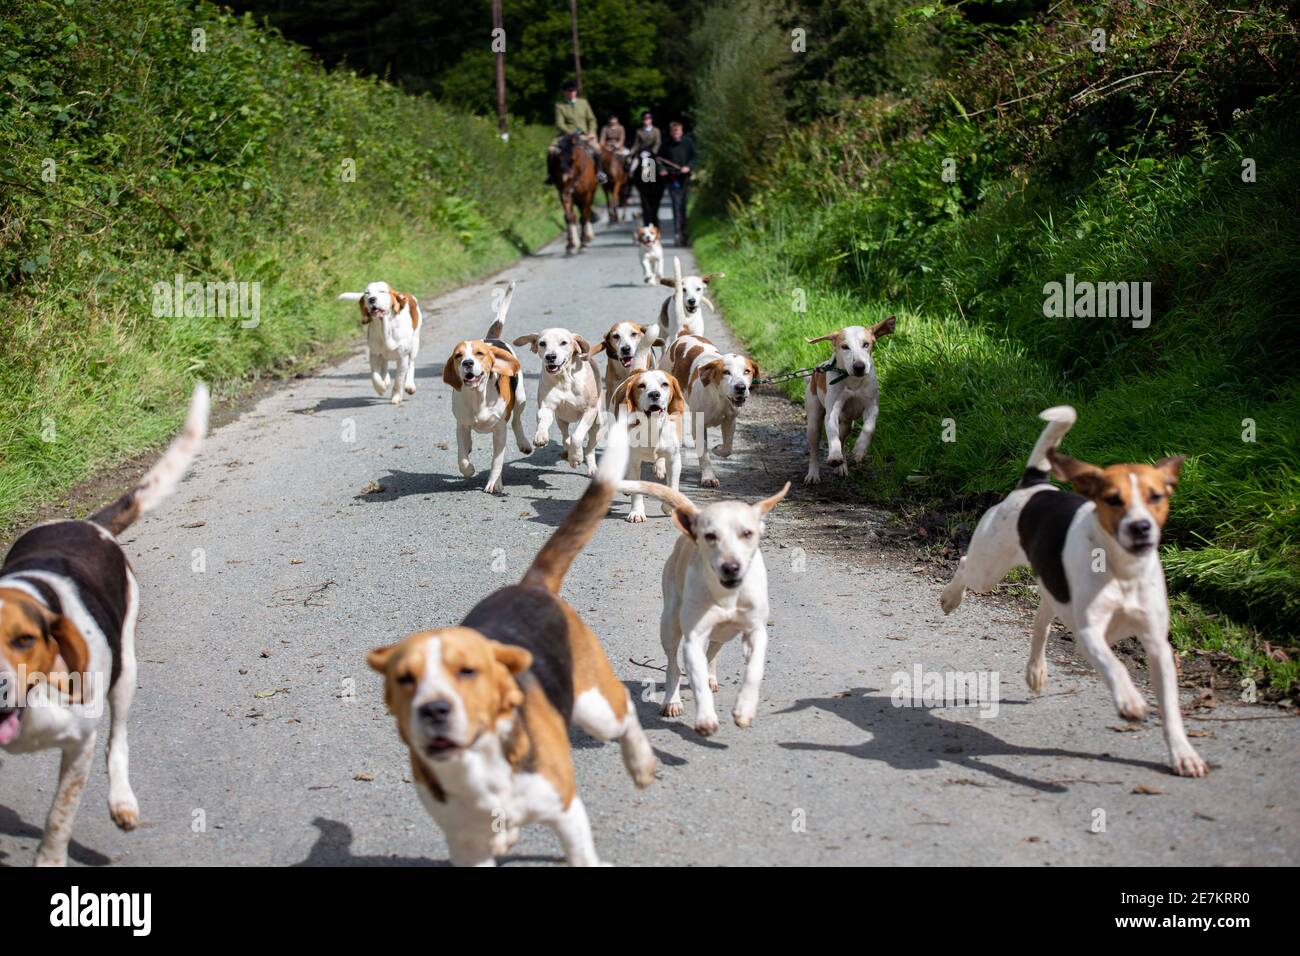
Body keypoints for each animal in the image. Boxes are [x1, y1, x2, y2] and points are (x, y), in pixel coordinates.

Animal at [935, 408, 1206, 780]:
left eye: (1156, 497)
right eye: (1113, 499)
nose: (1141, 527)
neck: (1123, 570)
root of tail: (1034, 485)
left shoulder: (1157, 645)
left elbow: (1169, 706)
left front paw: (1183, 754)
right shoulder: (1090, 633)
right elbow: (1115, 665)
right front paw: (1130, 701)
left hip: (1049, 588)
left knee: (1040, 625)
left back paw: (1036, 671)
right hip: (987, 569)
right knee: (965, 565)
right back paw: (951, 598)